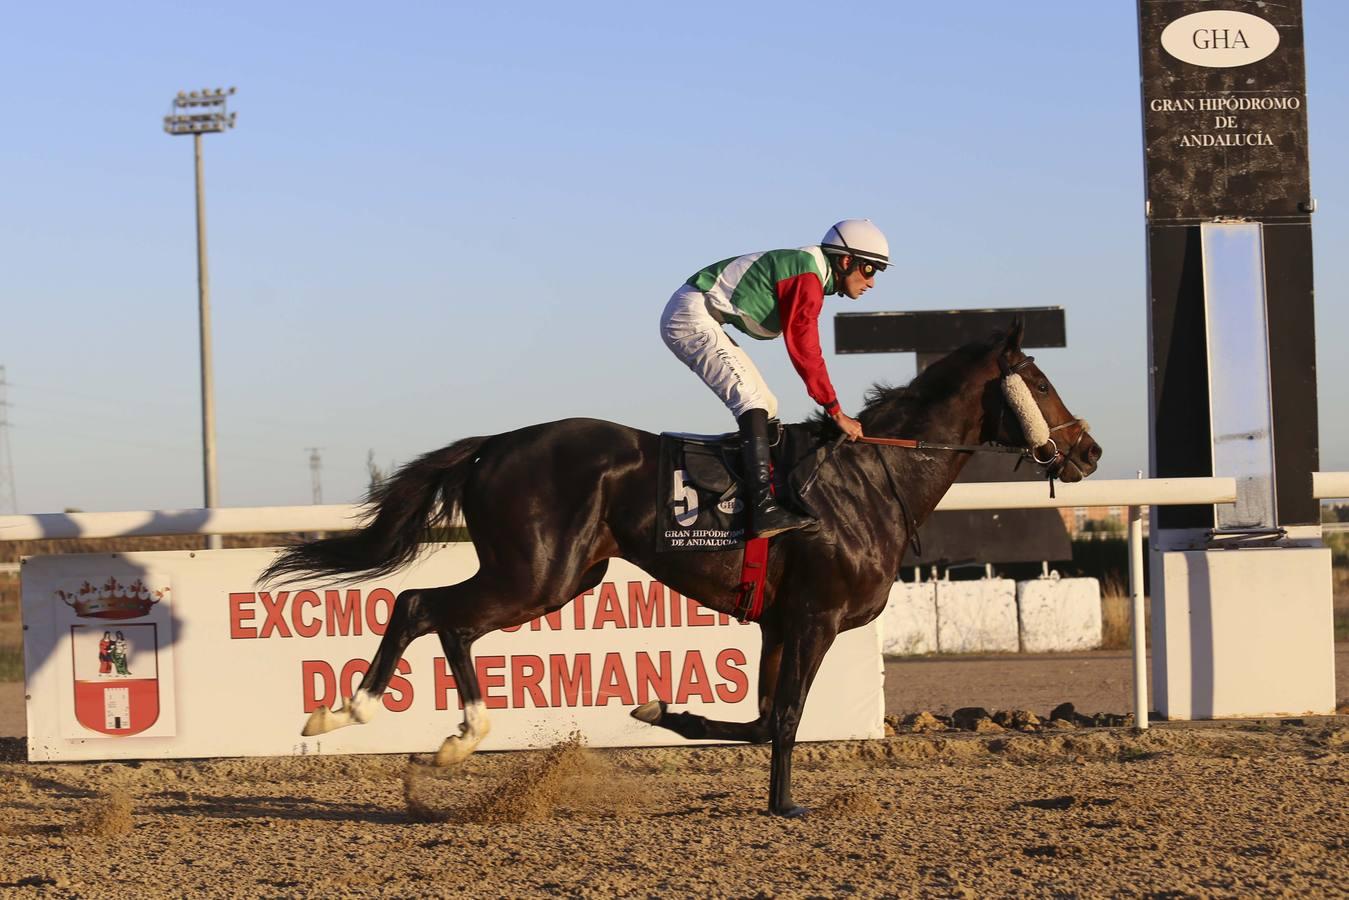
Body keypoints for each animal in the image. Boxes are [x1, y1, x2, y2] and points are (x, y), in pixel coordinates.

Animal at [260, 322, 1095, 814]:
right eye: (1040, 382)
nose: (1087, 451)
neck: (867, 479)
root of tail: (493, 444)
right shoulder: (816, 617)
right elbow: (784, 719)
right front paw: (784, 805)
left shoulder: (777, 622)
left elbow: (760, 720)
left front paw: (662, 711)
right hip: (538, 574)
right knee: (430, 611)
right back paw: (420, 725)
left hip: (561, 576)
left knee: (427, 612)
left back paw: (383, 720)